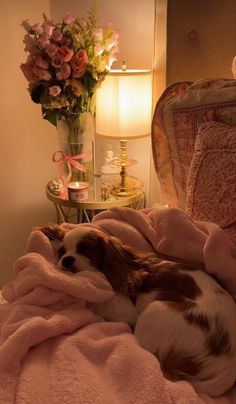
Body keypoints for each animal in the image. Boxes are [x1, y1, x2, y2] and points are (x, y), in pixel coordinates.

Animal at [39, 226, 235, 396]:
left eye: (85, 250)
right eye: (61, 253)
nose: (66, 260)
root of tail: (226, 371)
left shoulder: (127, 311)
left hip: (156, 309)